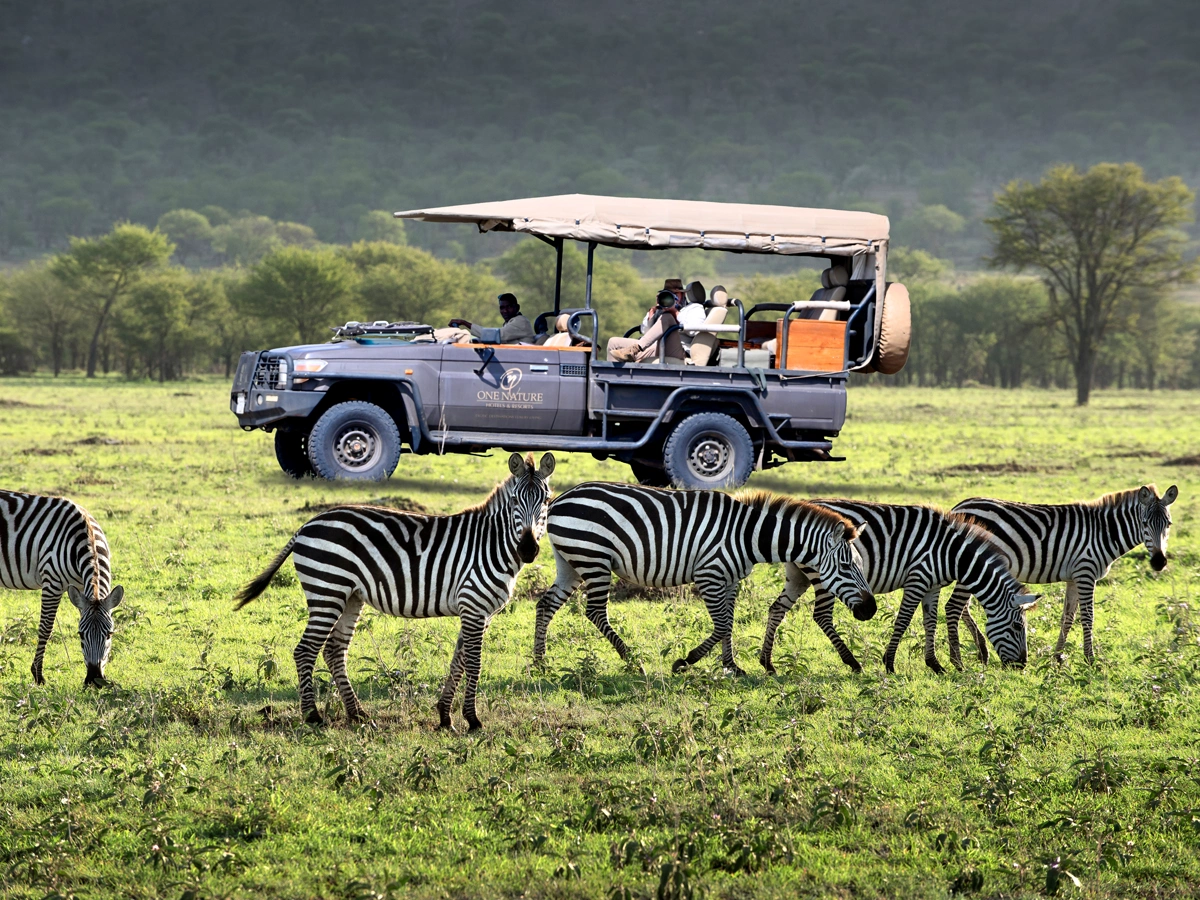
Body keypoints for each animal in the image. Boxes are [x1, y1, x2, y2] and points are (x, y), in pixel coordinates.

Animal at [0, 489, 124, 686]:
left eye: (110, 634)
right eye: (80, 635)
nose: (94, 679)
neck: (86, 536)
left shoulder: (81, 591)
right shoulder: (52, 582)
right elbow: (46, 628)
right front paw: (38, 675)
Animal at [231, 451, 554, 734]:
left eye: (547, 500)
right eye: (515, 500)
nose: (528, 549)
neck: (491, 544)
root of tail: (307, 524)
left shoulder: (478, 611)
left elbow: (458, 661)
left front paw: (445, 716)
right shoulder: (473, 606)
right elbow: (473, 663)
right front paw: (472, 719)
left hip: (350, 596)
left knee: (334, 650)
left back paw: (358, 714)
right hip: (327, 591)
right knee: (305, 650)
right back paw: (313, 716)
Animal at [532, 487, 873, 676]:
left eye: (860, 565)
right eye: (846, 566)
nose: (870, 610)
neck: (747, 535)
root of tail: (560, 498)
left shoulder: (730, 581)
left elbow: (729, 623)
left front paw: (732, 666)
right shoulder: (709, 576)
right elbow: (721, 626)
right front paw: (686, 661)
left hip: (570, 562)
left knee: (546, 604)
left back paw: (539, 662)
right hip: (594, 558)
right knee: (595, 612)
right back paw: (632, 661)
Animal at [758, 504, 1032, 672]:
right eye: (1018, 627)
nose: (1022, 665)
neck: (951, 554)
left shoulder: (932, 586)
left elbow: (930, 621)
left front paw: (935, 664)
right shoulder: (918, 578)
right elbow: (904, 619)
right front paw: (889, 663)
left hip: (798, 576)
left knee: (777, 609)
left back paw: (767, 662)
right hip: (824, 577)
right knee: (822, 615)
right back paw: (852, 662)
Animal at [940, 487, 1176, 672]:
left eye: (1169, 524)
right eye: (1144, 523)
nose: (1159, 562)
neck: (1104, 532)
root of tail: (959, 507)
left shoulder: (1074, 577)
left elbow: (1067, 618)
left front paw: (1057, 659)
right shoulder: (1086, 572)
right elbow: (1087, 617)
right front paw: (1090, 660)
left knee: (963, 607)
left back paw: (982, 652)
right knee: (953, 607)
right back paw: (958, 662)